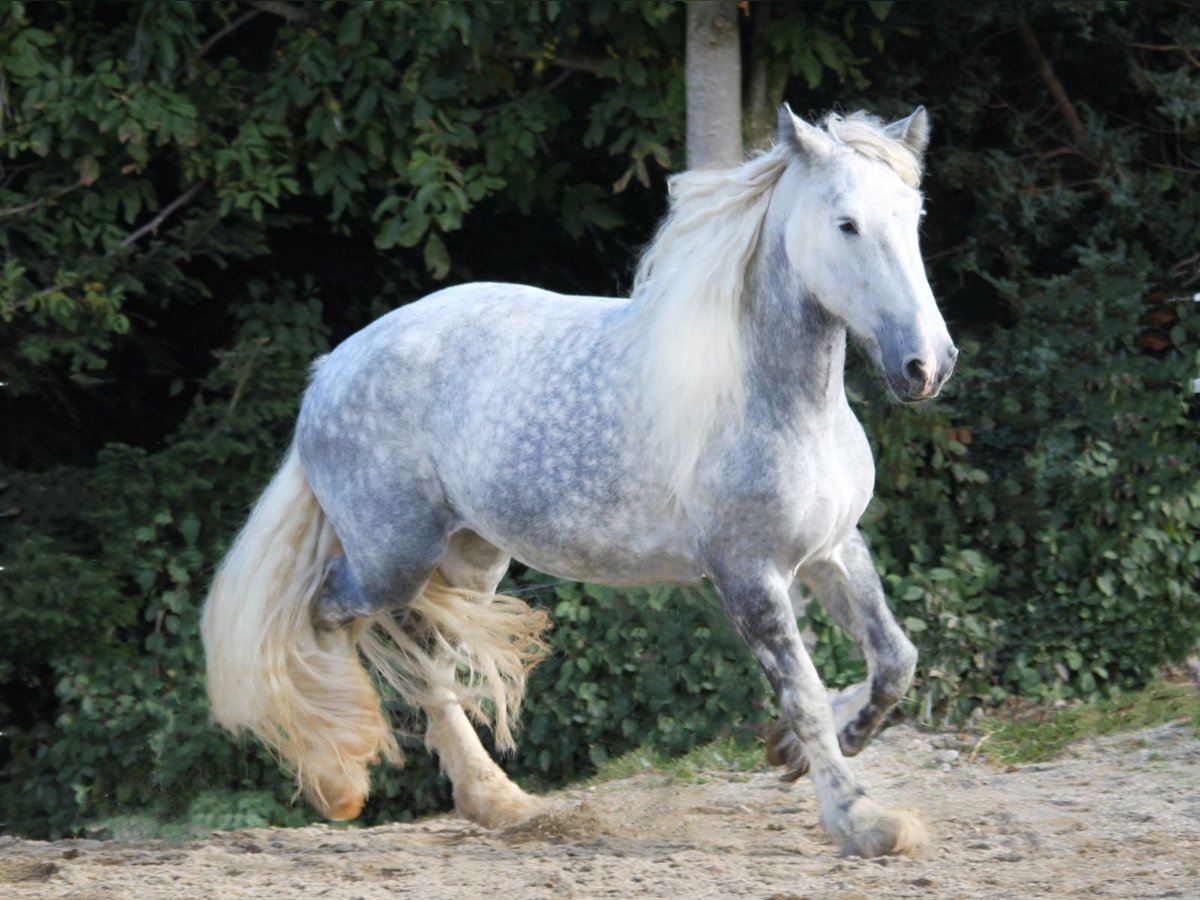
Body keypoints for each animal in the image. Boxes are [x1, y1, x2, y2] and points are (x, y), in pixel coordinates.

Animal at [204, 105, 955, 859]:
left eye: (916, 216)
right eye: (846, 223)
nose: (926, 365)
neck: (783, 402)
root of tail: (330, 368)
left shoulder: (832, 549)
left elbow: (895, 659)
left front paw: (796, 756)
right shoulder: (750, 575)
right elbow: (802, 693)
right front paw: (864, 822)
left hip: (470, 560)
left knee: (428, 661)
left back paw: (496, 802)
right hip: (393, 559)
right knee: (326, 614)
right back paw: (340, 778)